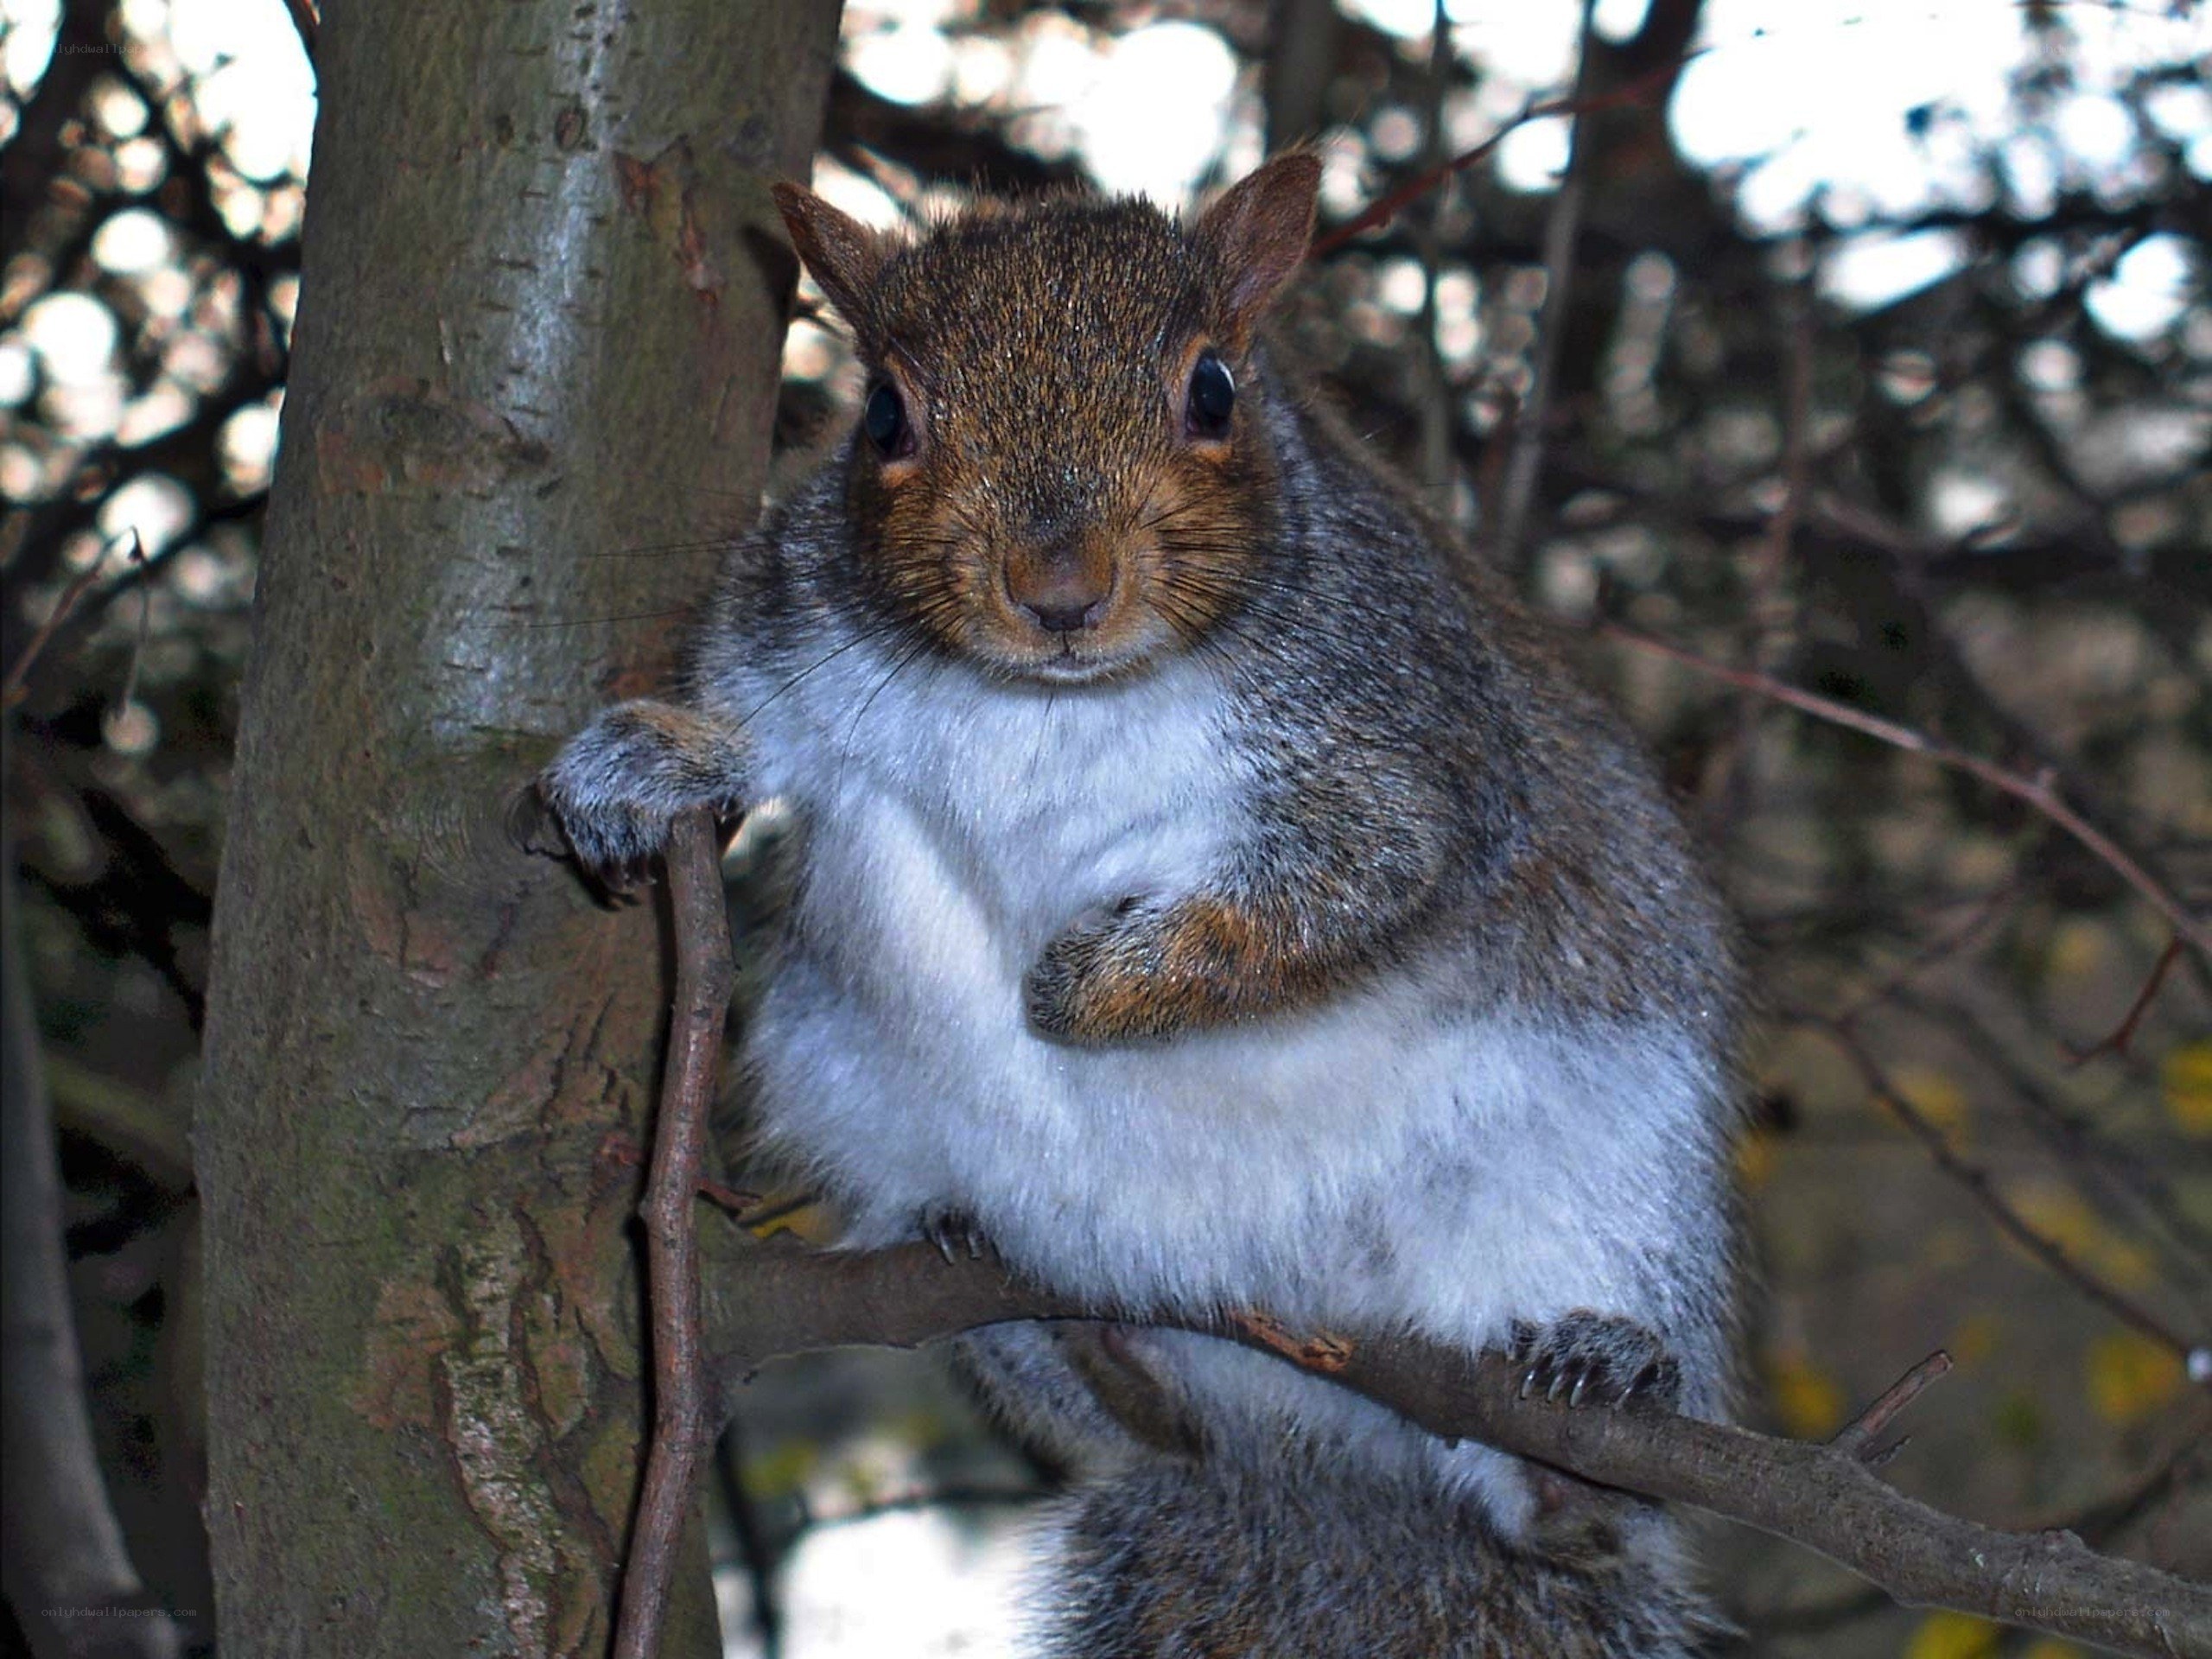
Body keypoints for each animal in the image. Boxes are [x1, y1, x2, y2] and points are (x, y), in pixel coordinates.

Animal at [539, 154, 1744, 1656]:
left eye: (1215, 391)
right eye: (884, 416)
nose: (1059, 592)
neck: (1054, 703)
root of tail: (1316, 1440)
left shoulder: (1410, 744)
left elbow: (1352, 884)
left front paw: (1082, 984)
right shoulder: (789, 641)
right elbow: (744, 731)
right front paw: (641, 763)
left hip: (1608, 1178)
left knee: (1578, 1504)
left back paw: (1590, 1410)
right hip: (865, 1119)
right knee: (1147, 1422)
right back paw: (1076, 1336)